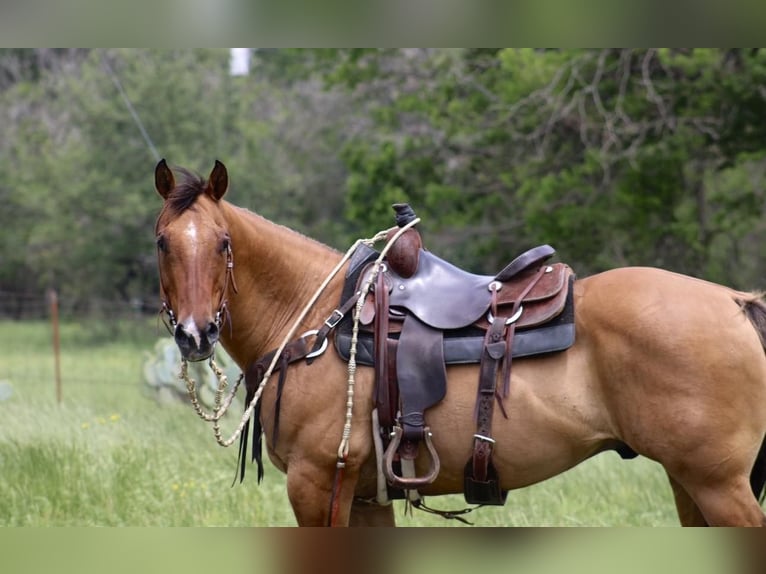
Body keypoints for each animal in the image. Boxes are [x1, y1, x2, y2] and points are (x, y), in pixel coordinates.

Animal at [152, 160, 766, 528]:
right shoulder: (363, 495)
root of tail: (735, 300)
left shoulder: (317, 484)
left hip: (717, 485)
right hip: (689, 484)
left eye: (223, 242)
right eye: (162, 242)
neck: (316, 316)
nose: (196, 333)